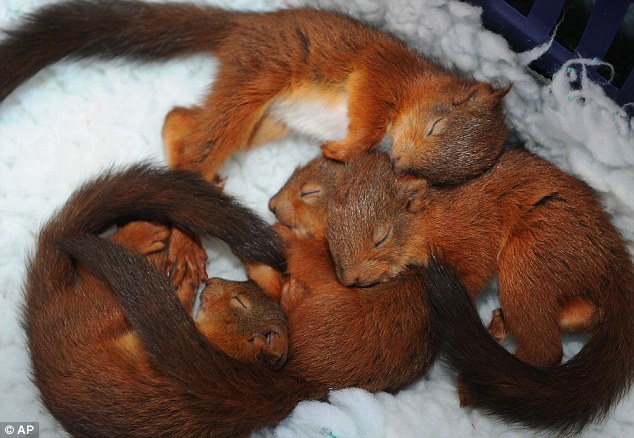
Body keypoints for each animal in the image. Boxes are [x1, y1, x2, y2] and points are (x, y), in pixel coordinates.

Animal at [0, 0, 508, 185]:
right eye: (438, 123)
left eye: (444, 177)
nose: (401, 162)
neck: (420, 82)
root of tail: (248, 24)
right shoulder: (381, 74)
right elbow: (365, 116)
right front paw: (344, 150)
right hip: (258, 78)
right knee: (200, 129)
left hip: (269, 122)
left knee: (180, 118)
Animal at [23, 164, 320, 438]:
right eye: (244, 286)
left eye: (240, 301)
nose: (211, 282)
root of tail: (44, 306)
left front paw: (184, 284)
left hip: (105, 306)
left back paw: (148, 234)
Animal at [324, 151, 632, 434]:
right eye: (329, 232)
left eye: (382, 237)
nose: (349, 279)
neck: (431, 219)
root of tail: (612, 260)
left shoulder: (472, 235)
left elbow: (474, 269)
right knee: (583, 315)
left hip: (527, 261)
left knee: (547, 350)